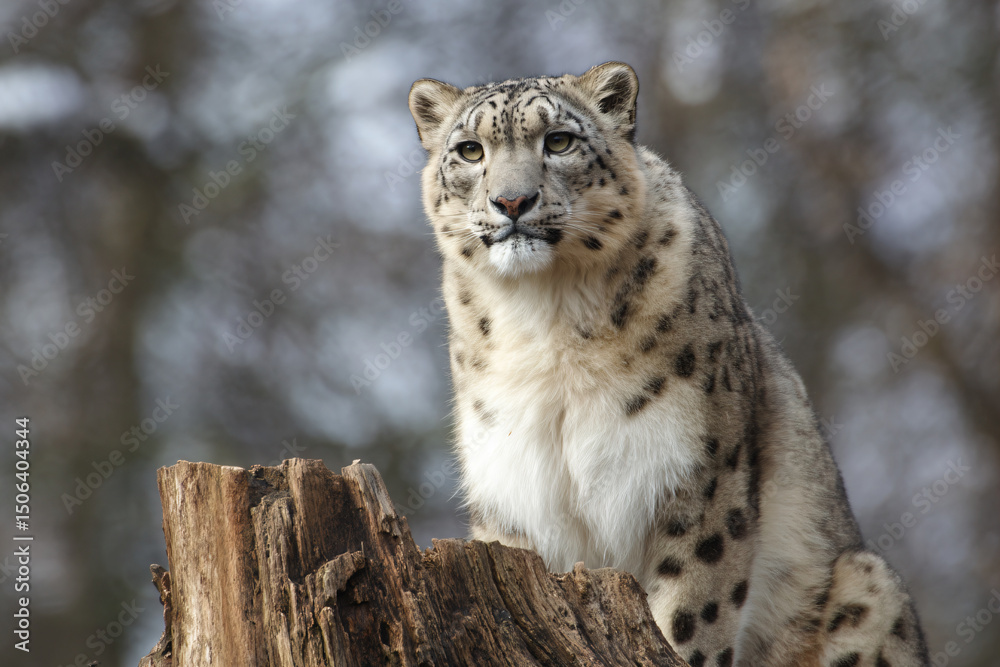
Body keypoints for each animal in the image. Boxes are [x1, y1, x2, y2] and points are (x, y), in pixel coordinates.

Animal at [407, 61, 929, 667]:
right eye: (469, 150)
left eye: (558, 141)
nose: (512, 202)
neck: (547, 318)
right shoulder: (511, 499)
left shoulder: (699, 482)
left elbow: (690, 619)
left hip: (867, 586)